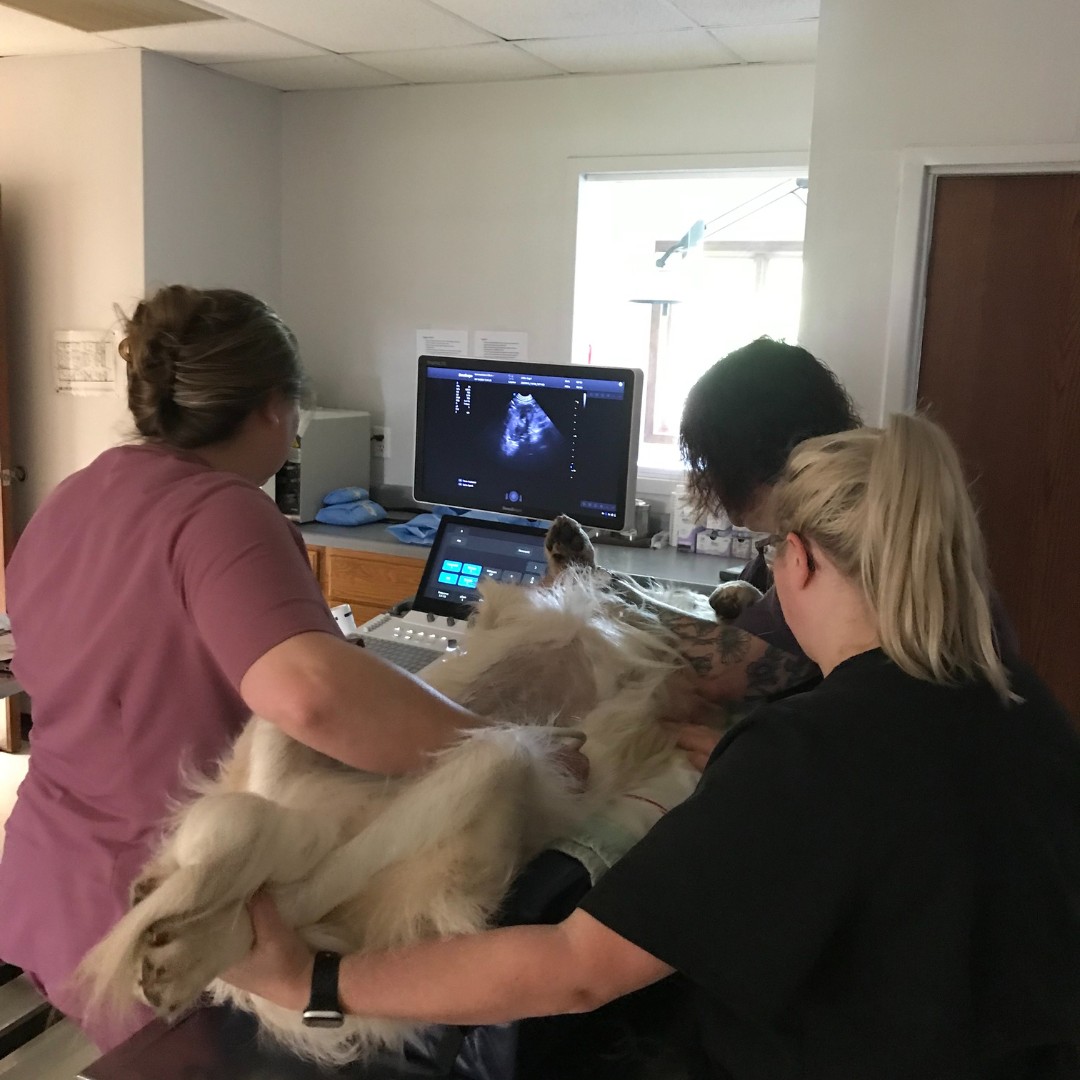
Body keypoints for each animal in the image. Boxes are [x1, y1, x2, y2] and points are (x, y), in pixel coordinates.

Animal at [76, 518, 699, 1067]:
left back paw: (187, 948)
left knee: (292, 889)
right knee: (282, 857)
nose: (565, 527)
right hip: (323, 703)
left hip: (485, 759)